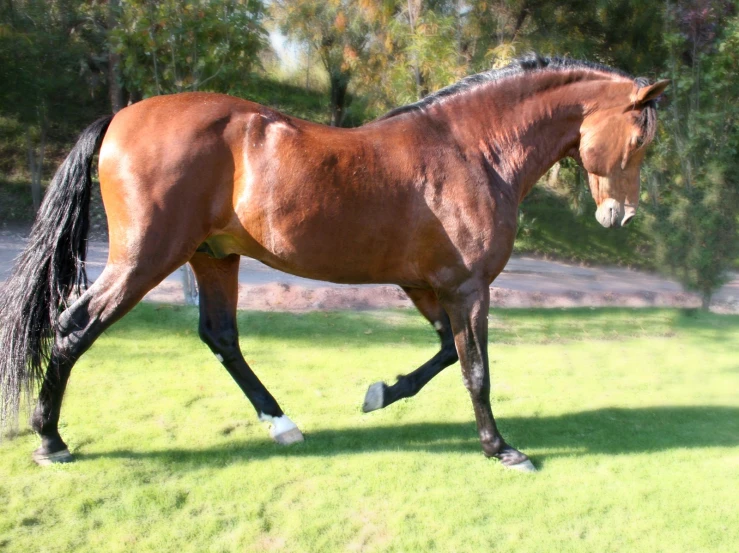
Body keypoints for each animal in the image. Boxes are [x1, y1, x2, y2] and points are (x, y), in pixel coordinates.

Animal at [0, 55, 672, 470]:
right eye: (640, 138)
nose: (620, 216)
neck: (471, 150)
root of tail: (121, 116)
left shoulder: (427, 285)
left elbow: (445, 354)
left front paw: (381, 393)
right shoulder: (467, 288)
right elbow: (475, 369)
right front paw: (500, 448)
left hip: (212, 257)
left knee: (220, 336)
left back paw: (282, 423)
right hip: (146, 258)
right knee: (74, 328)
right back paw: (50, 439)